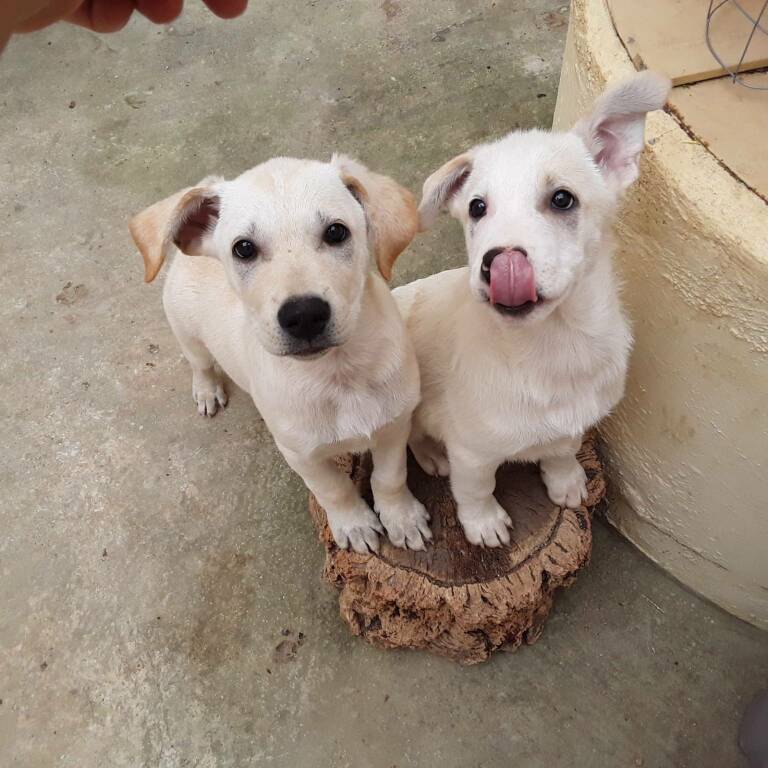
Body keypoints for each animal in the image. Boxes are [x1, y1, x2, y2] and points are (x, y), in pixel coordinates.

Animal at [130, 156, 432, 552]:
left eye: (336, 232)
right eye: (243, 248)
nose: (303, 315)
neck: (339, 374)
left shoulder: (395, 424)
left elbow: (391, 476)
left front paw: (402, 518)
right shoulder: (300, 453)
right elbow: (333, 490)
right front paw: (353, 524)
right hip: (186, 331)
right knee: (199, 364)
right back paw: (207, 390)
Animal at [392, 72, 668, 548]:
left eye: (562, 199)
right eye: (476, 208)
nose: (496, 264)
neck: (554, 345)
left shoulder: (574, 424)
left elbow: (560, 451)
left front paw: (566, 481)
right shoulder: (471, 451)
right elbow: (476, 490)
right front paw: (484, 524)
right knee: (409, 435)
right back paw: (429, 454)